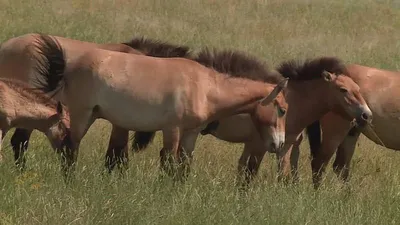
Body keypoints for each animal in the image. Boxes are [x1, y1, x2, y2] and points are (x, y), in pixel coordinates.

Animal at [30, 34, 288, 180]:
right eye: (283, 110)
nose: (279, 144)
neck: (204, 87)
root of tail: (70, 65)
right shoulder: (172, 129)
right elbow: (168, 162)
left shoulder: (190, 133)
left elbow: (183, 165)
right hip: (82, 115)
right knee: (70, 148)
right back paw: (70, 181)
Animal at [133, 55, 374, 185]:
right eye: (343, 90)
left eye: (358, 88)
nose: (366, 114)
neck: (293, 100)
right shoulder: (262, 145)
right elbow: (253, 173)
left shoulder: (277, 145)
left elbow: (255, 172)